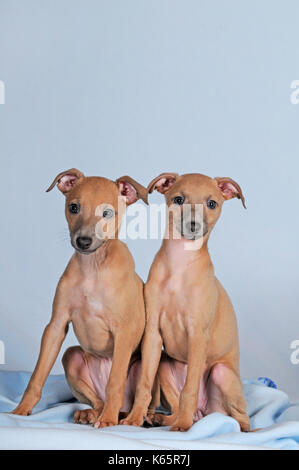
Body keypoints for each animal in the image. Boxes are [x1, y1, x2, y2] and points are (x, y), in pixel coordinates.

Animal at [12, 170, 148, 430]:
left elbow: (115, 381)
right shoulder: (56, 326)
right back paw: (91, 413)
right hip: (71, 357)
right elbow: (37, 376)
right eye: (73, 207)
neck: (92, 268)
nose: (83, 241)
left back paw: (127, 416)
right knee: (97, 399)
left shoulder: (124, 331)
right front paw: (20, 411)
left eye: (107, 213)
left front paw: (108, 421)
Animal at [122, 172, 251, 430]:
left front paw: (182, 426)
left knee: (242, 419)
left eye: (212, 203)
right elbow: (144, 384)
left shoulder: (198, 334)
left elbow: (189, 389)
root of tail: (205, 412)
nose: (193, 225)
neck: (180, 264)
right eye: (179, 199)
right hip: (164, 365)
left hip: (222, 373)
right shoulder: (153, 334)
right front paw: (134, 417)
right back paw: (162, 418)